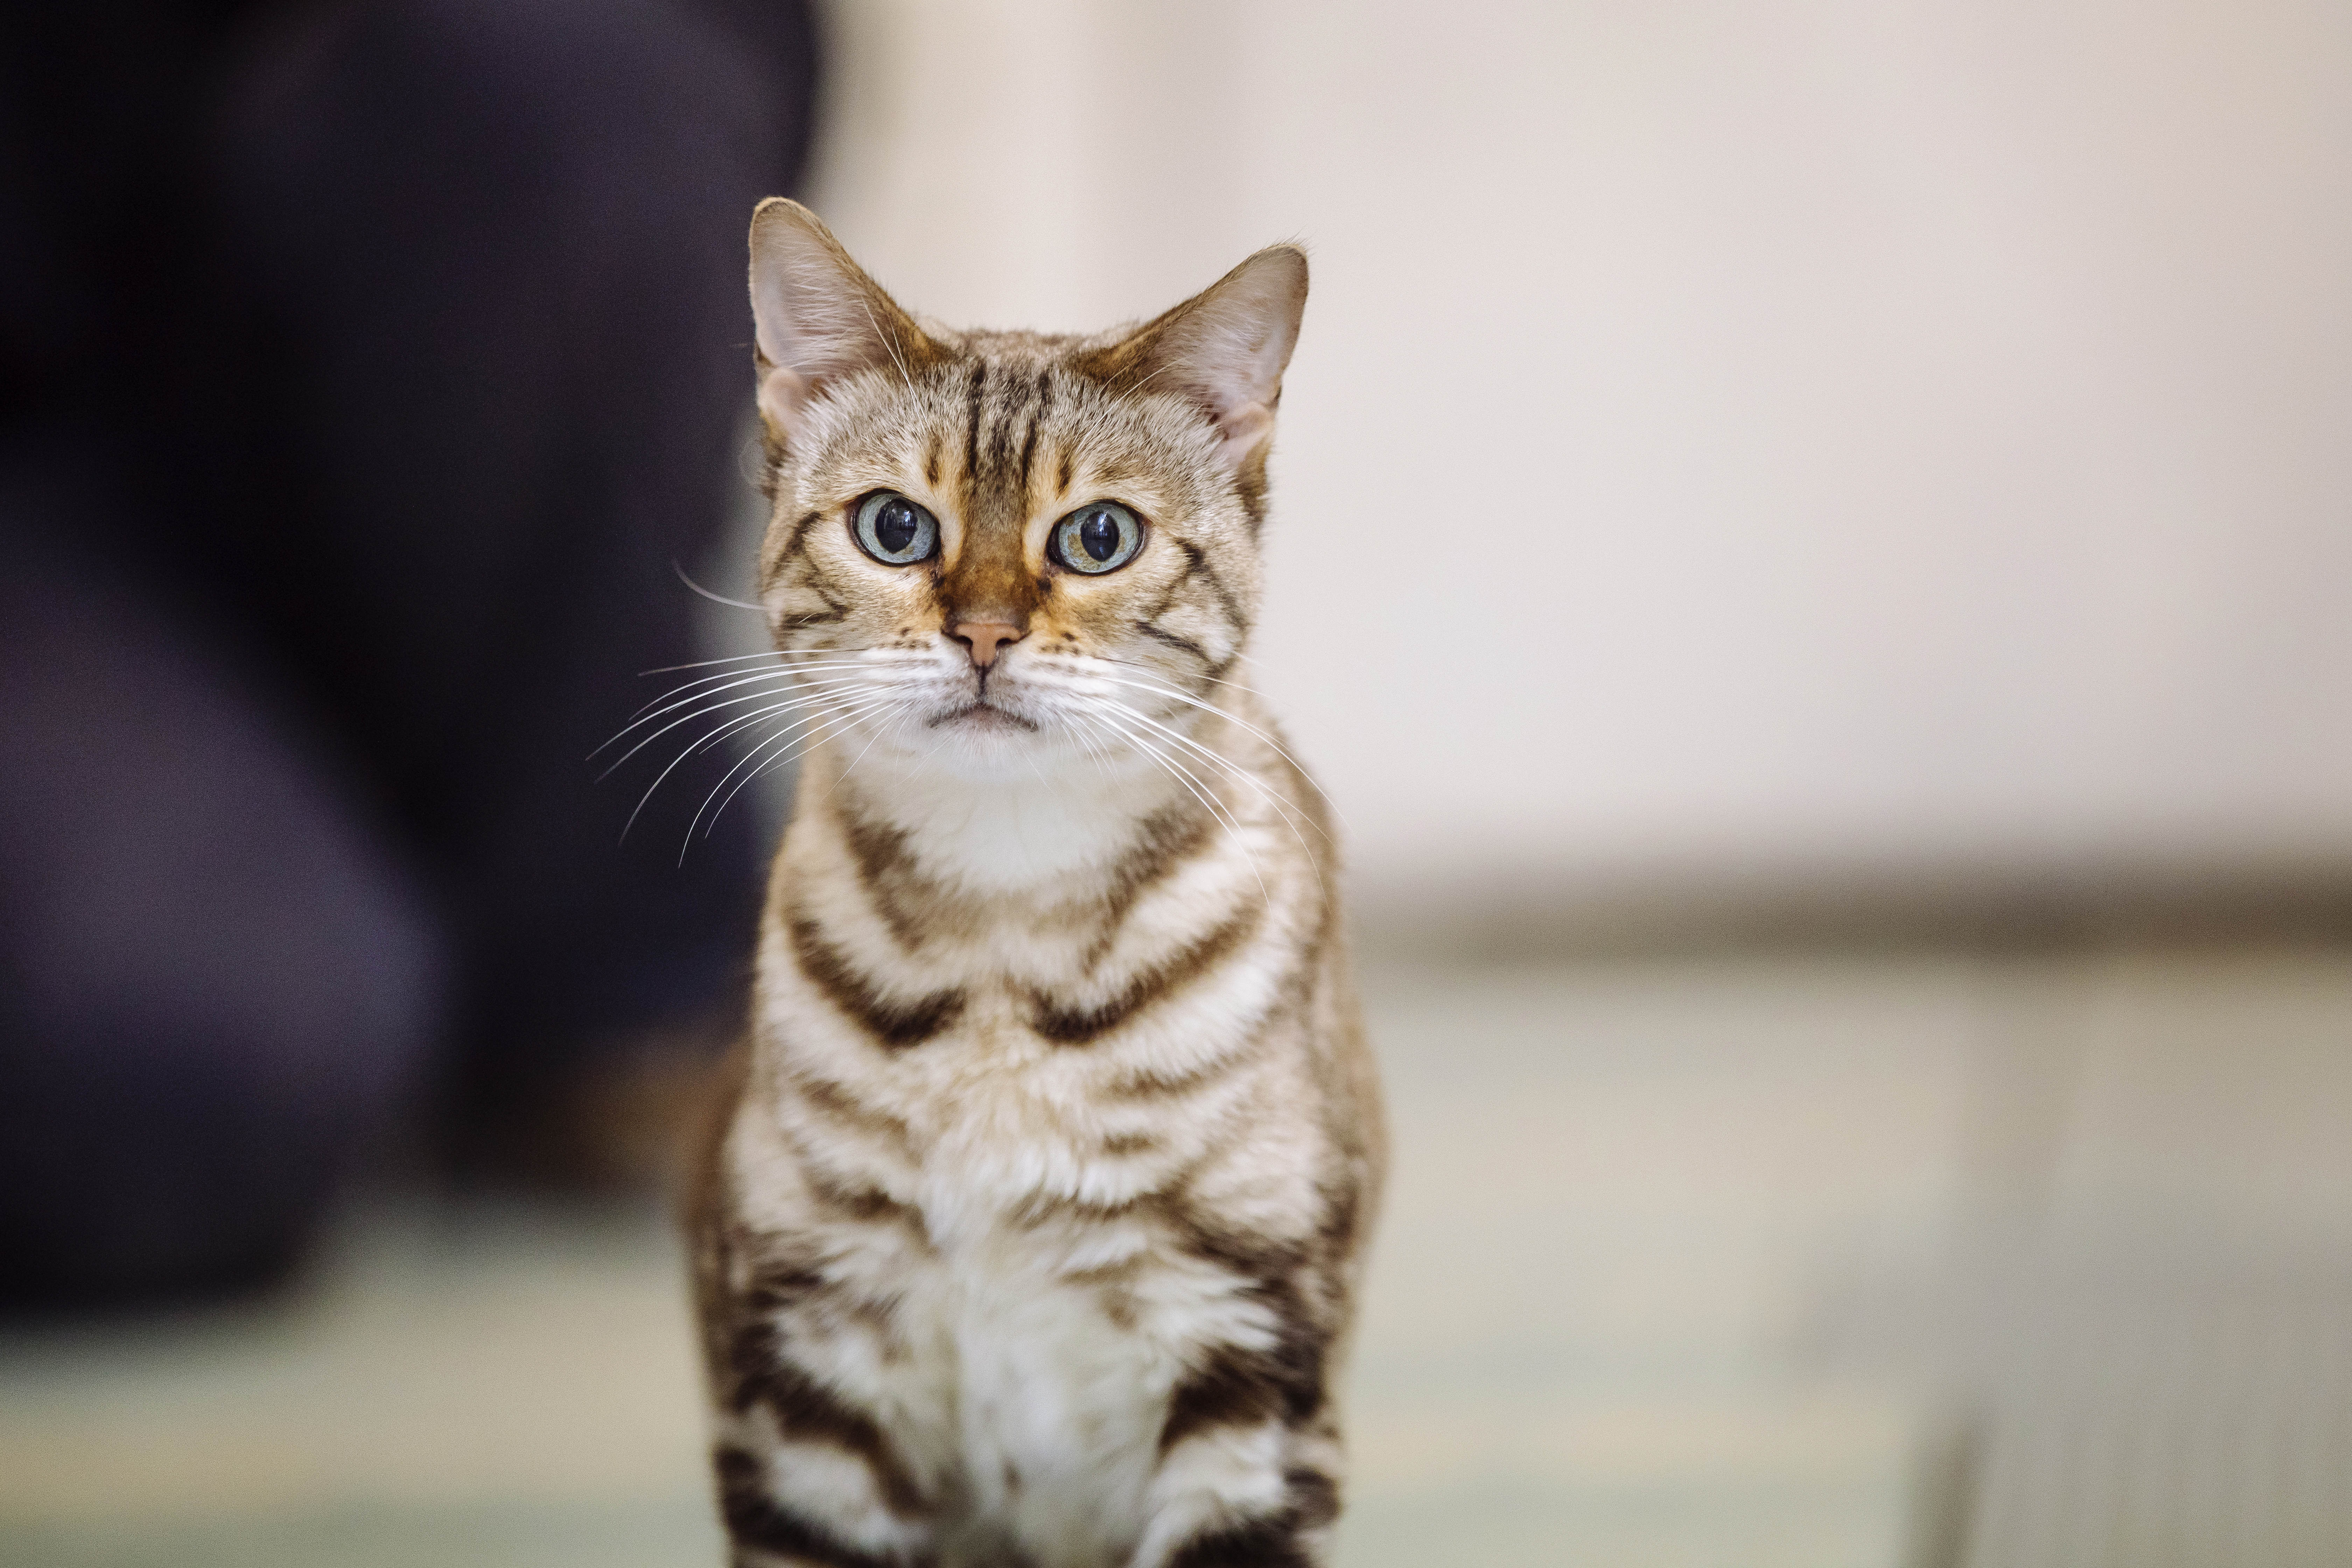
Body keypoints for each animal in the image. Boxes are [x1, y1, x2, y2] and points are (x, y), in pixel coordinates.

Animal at [687, 200, 1373, 1568]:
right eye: (894, 528)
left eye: (1098, 538)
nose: (987, 633)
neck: (1003, 939)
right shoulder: (808, 1365)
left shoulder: (1249, 1354)